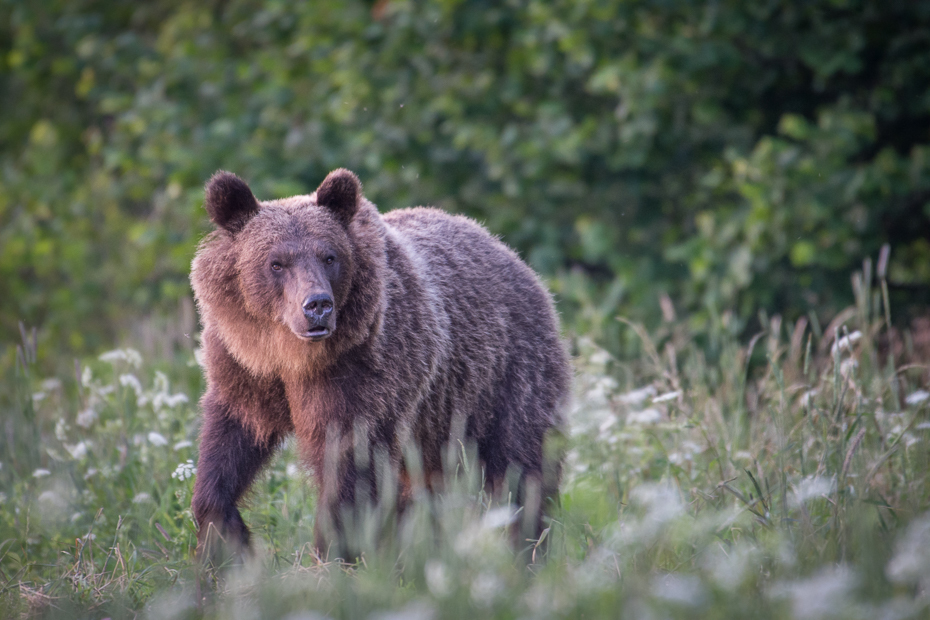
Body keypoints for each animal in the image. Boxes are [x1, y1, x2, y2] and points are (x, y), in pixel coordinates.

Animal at [188, 168, 568, 556]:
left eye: (329, 257)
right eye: (276, 263)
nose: (317, 305)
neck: (291, 358)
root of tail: (512, 256)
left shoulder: (364, 375)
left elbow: (349, 468)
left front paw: (331, 552)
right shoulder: (243, 369)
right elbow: (228, 445)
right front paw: (225, 539)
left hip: (506, 378)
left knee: (520, 469)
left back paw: (527, 547)